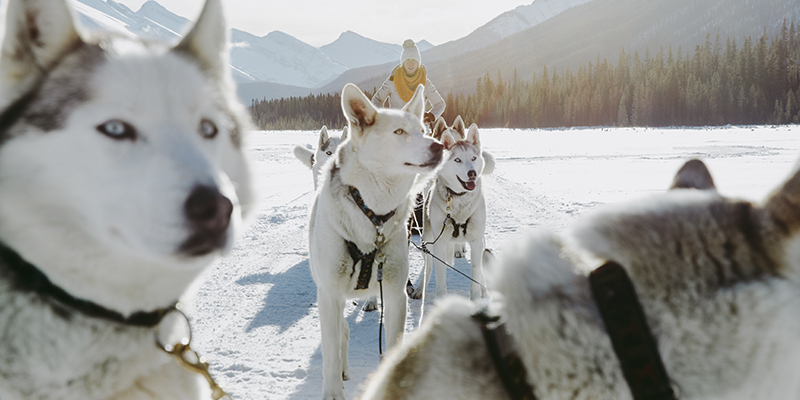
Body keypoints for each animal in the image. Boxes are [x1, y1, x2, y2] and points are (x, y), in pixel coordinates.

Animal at [308, 83, 444, 398]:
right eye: (398, 131)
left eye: (422, 130)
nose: (439, 146)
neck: (374, 214)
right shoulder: (329, 294)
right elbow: (331, 351)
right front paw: (332, 390)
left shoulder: (395, 294)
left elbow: (394, 344)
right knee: (342, 333)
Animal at [410, 122, 490, 300]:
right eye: (457, 160)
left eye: (473, 158)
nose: (472, 173)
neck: (459, 199)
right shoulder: (439, 243)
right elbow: (440, 278)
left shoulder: (476, 241)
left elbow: (476, 274)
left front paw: (476, 298)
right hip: (428, 240)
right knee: (429, 267)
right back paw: (420, 289)